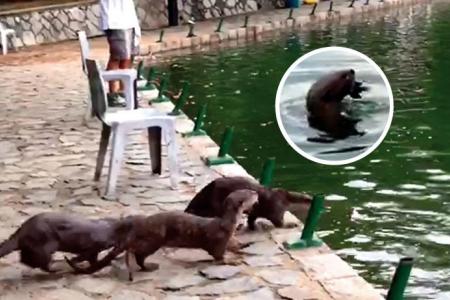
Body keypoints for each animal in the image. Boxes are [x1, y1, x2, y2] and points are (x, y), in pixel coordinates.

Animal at [65, 190, 258, 282]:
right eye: (250, 192)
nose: (257, 193)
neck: (228, 224)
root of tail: (140, 226)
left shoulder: (230, 237)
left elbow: (235, 245)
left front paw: (245, 247)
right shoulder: (219, 240)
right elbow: (219, 256)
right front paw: (233, 260)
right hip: (154, 240)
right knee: (138, 254)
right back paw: (148, 266)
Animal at [183, 176, 312, 230]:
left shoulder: (256, 210)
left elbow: (251, 218)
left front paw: (253, 227)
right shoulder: (276, 208)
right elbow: (278, 223)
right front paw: (291, 225)